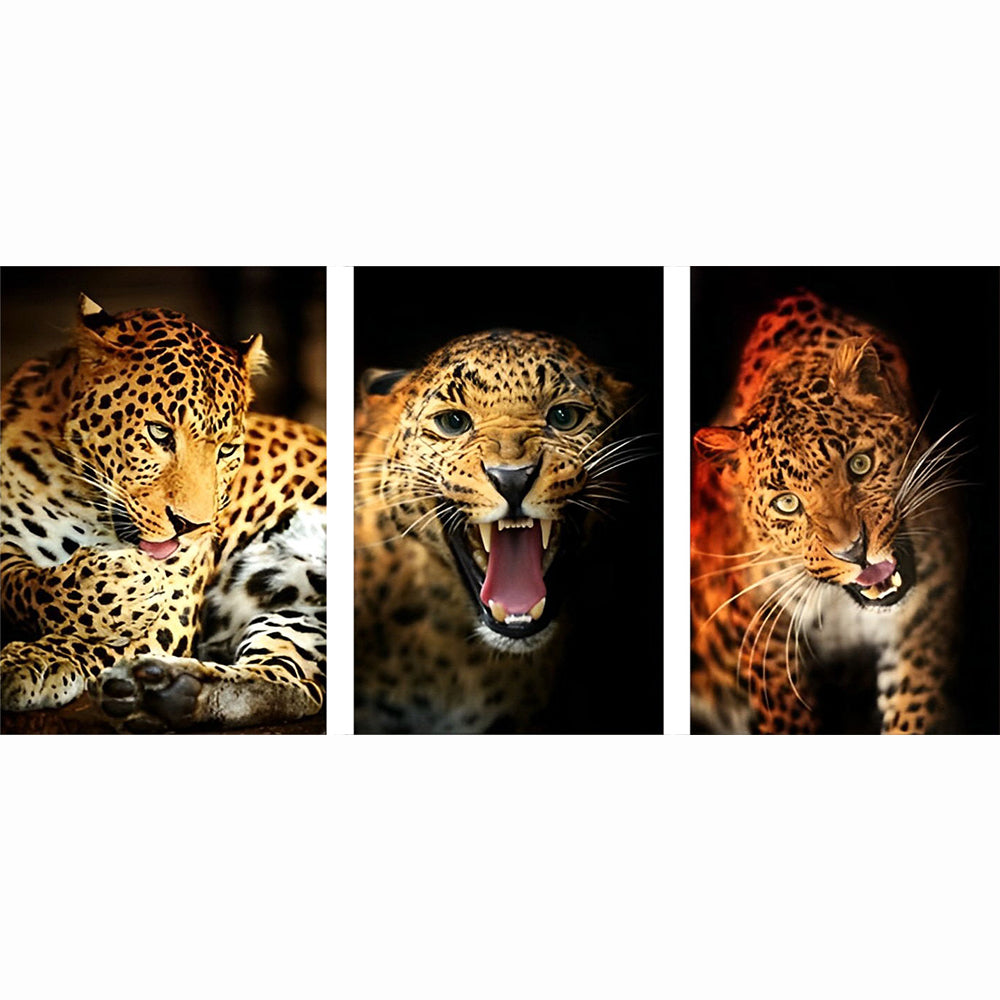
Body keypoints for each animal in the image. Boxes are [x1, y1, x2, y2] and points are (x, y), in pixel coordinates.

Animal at [1, 294, 326, 732]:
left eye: (226, 449)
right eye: (159, 433)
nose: (193, 526)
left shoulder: (177, 608)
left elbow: (88, 639)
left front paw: (35, 660)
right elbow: (29, 586)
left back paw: (157, 689)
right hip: (298, 616)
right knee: (291, 681)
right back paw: (170, 692)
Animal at [691, 292, 965, 734]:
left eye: (860, 465)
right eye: (787, 503)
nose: (854, 550)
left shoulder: (931, 600)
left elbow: (915, 708)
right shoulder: (760, 626)